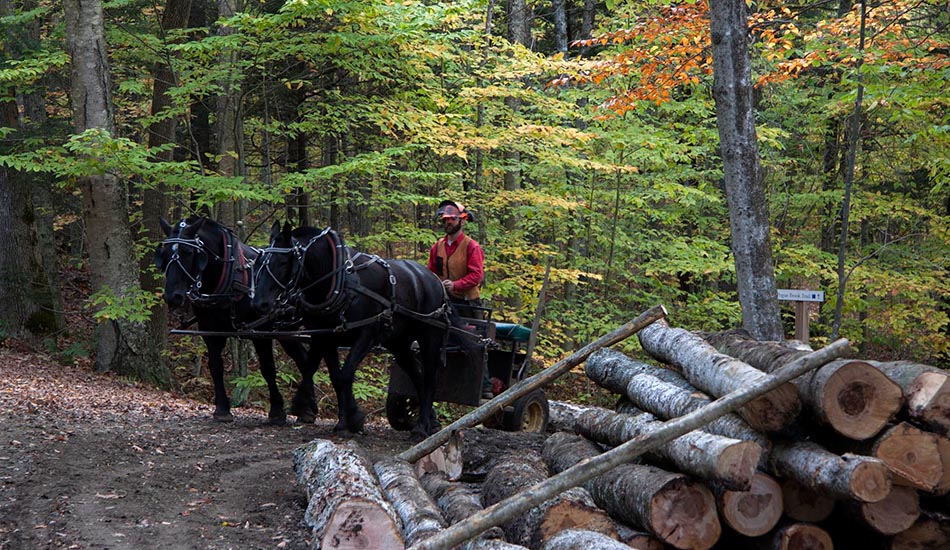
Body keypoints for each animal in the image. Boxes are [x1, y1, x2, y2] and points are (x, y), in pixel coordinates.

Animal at [154, 217, 320, 426]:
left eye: (188, 252)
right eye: (164, 254)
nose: (172, 296)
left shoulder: (261, 331)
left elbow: (268, 368)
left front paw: (276, 411)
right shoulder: (210, 331)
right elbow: (216, 367)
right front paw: (222, 409)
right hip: (286, 330)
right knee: (304, 360)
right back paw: (307, 408)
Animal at [251, 222, 462, 442]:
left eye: (283, 261)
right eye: (260, 262)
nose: (259, 303)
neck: (341, 283)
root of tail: (435, 281)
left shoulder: (366, 334)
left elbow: (345, 374)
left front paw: (350, 420)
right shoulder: (326, 337)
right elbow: (335, 377)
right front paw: (344, 421)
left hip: (430, 338)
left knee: (429, 379)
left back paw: (421, 428)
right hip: (399, 343)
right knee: (417, 377)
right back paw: (427, 422)